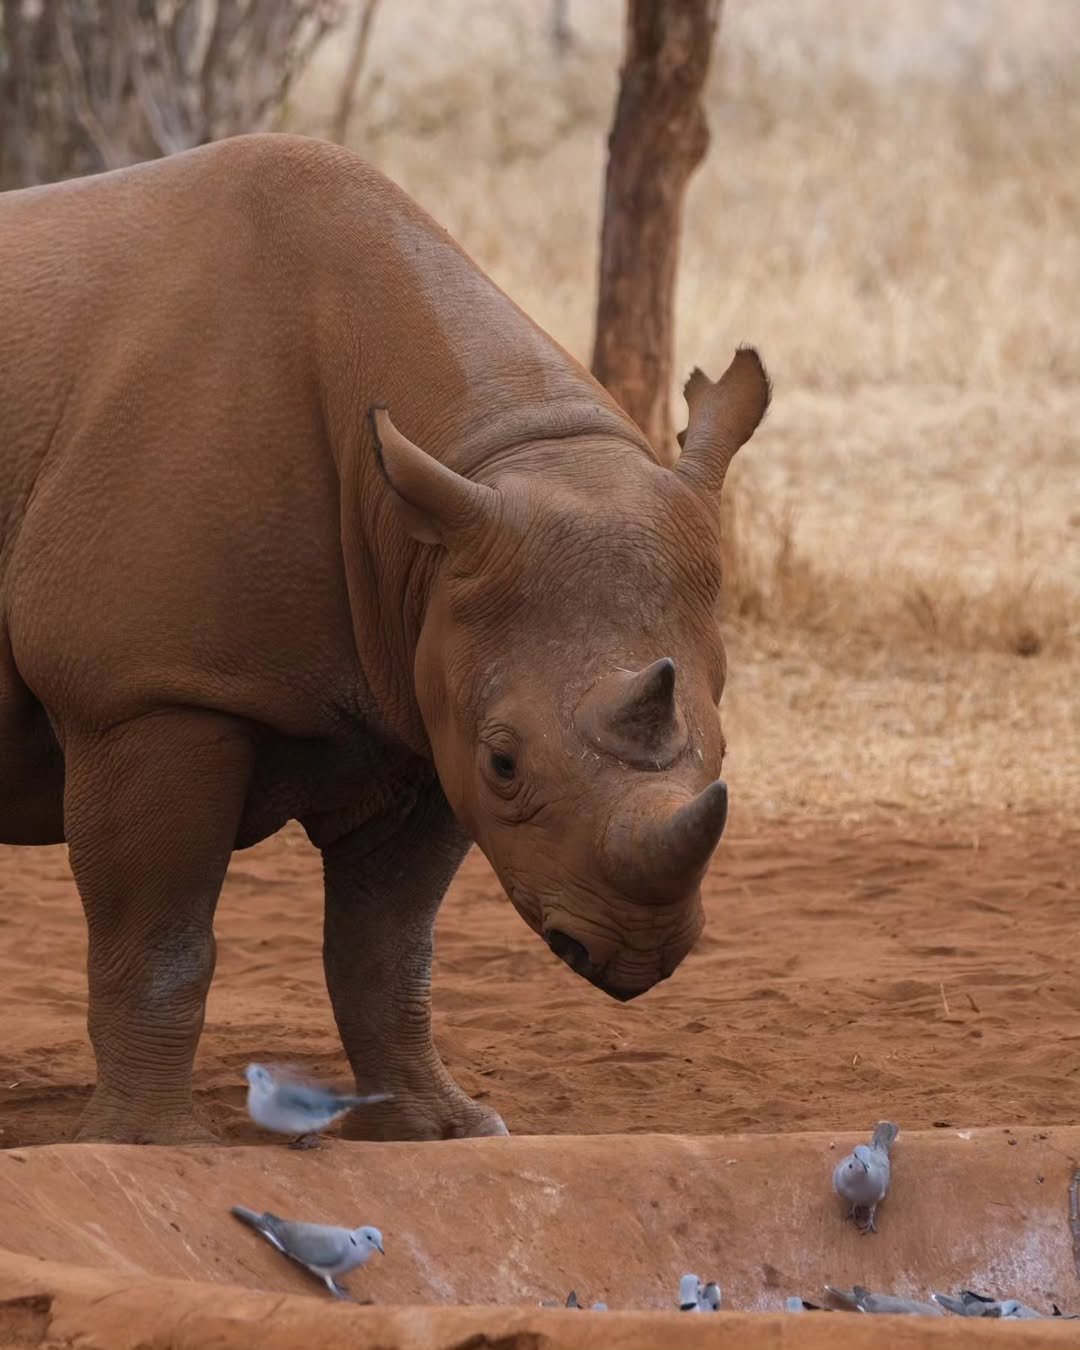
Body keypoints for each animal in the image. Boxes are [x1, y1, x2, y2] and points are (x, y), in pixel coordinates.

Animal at [0, 134, 769, 1144]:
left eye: (725, 751)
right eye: (506, 764)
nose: (637, 955)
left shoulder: (425, 686)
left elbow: (388, 948)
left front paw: (445, 1132)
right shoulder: (148, 691)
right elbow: (158, 937)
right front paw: (148, 1146)